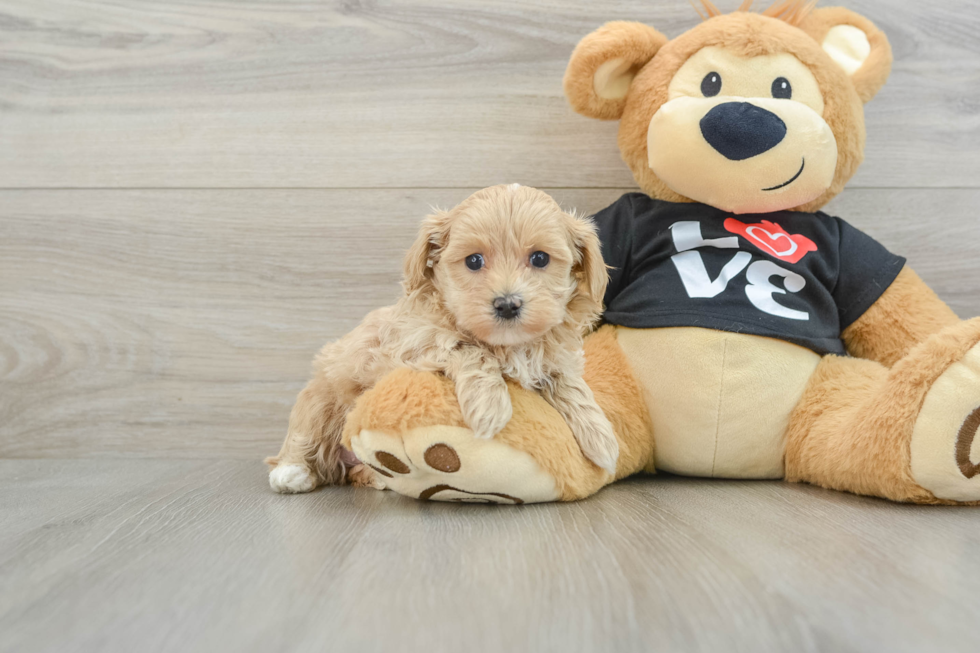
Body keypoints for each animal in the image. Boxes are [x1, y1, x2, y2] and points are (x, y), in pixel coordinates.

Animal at [266, 181, 620, 492]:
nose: (507, 304)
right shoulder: (413, 346)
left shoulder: (553, 357)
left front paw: (602, 438)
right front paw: (489, 408)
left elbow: (570, 384)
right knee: (305, 437)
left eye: (540, 258)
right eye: (474, 261)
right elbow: (470, 350)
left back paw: (376, 477)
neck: (508, 344)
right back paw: (292, 472)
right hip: (320, 400)